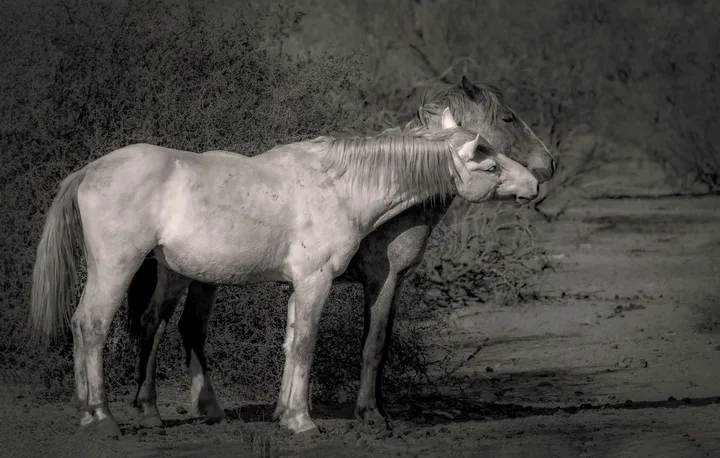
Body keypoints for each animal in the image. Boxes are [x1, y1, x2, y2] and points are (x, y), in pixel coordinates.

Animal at [30, 108, 540, 437]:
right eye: (491, 164)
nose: (535, 183)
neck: (340, 186)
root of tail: (90, 171)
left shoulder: (300, 285)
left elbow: (291, 342)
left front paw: (285, 413)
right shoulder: (318, 280)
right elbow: (307, 344)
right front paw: (303, 422)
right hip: (116, 268)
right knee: (90, 326)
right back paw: (100, 417)